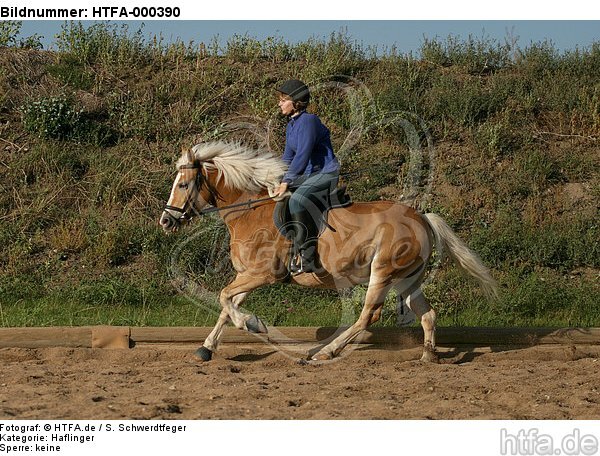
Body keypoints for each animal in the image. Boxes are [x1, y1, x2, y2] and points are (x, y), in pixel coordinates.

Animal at [159, 141, 496, 362]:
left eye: (184, 184)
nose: (166, 221)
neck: (249, 212)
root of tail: (422, 217)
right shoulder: (248, 275)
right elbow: (227, 306)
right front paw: (206, 348)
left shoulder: (262, 273)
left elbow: (224, 298)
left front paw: (253, 323)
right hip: (406, 279)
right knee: (427, 314)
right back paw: (428, 356)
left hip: (382, 272)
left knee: (368, 316)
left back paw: (325, 352)